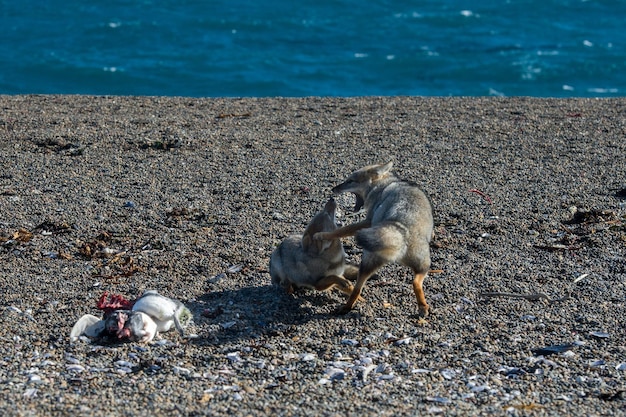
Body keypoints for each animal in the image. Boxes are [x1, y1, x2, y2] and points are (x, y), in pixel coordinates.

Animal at [314, 162, 432, 316]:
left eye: (350, 181)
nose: (333, 189)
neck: (385, 183)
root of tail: (402, 230)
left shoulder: (367, 222)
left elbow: (341, 231)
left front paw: (322, 235)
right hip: (423, 266)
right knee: (415, 283)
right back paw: (423, 307)